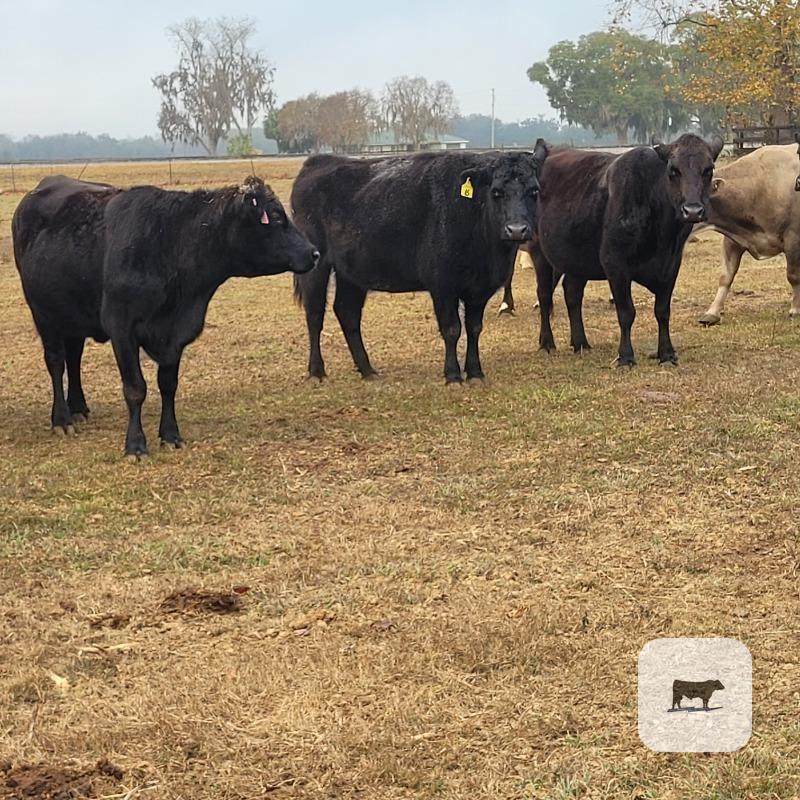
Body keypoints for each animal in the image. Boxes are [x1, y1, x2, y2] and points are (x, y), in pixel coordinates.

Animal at [12, 175, 319, 459]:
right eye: (276, 217)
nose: (314, 253)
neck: (170, 241)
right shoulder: (122, 329)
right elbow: (135, 388)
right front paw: (135, 445)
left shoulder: (176, 334)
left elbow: (168, 385)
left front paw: (171, 435)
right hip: (44, 314)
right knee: (56, 363)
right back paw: (62, 419)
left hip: (72, 316)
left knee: (74, 357)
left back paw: (78, 407)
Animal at [291, 144, 548, 384]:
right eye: (496, 192)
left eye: (534, 191)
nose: (516, 230)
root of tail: (318, 162)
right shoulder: (442, 286)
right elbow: (452, 329)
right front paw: (453, 375)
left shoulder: (480, 289)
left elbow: (474, 328)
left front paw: (475, 372)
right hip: (316, 267)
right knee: (315, 315)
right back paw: (317, 371)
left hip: (352, 274)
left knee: (347, 313)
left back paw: (367, 369)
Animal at [532, 134, 724, 366]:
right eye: (673, 170)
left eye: (708, 169)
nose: (693, 210)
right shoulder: (615, 264)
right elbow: (626, 312)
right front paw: (625, 356)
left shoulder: (672, 265)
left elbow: (662, 311)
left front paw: (666, 353)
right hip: (539, 252)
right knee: (544, 294)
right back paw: (546, 343)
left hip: (576, 259)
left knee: (572, 293)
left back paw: (581, 343)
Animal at [698, 139, 800, 325]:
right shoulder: (732, 240)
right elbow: (725, 276)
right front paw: (712, 312)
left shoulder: (793, 236)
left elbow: (793, 275)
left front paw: (795, 309)